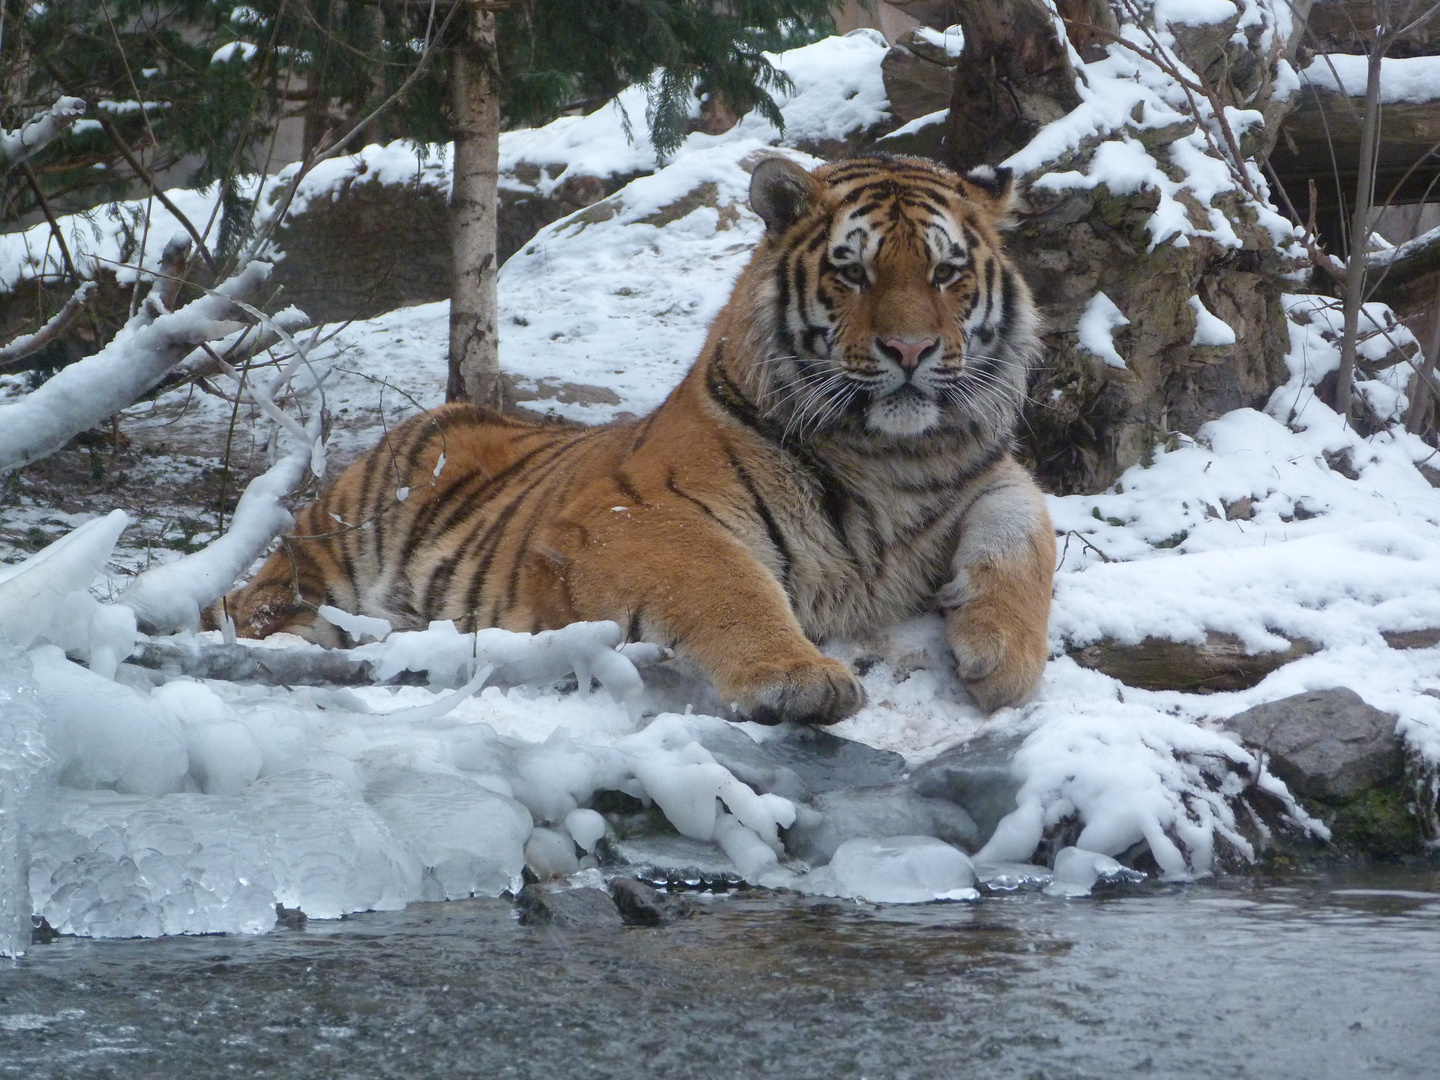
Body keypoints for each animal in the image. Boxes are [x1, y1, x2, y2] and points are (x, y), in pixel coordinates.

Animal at [218, 152, 1065, 728]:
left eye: (947, 272)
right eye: (851, 273)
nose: (910, 351)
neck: (889, 457)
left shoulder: (991, 474)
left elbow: (1026, 534)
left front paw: (1002, 654)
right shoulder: (635, 516)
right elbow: (728, 582)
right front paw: (798, 676)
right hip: (329, 546)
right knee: (246, 604)